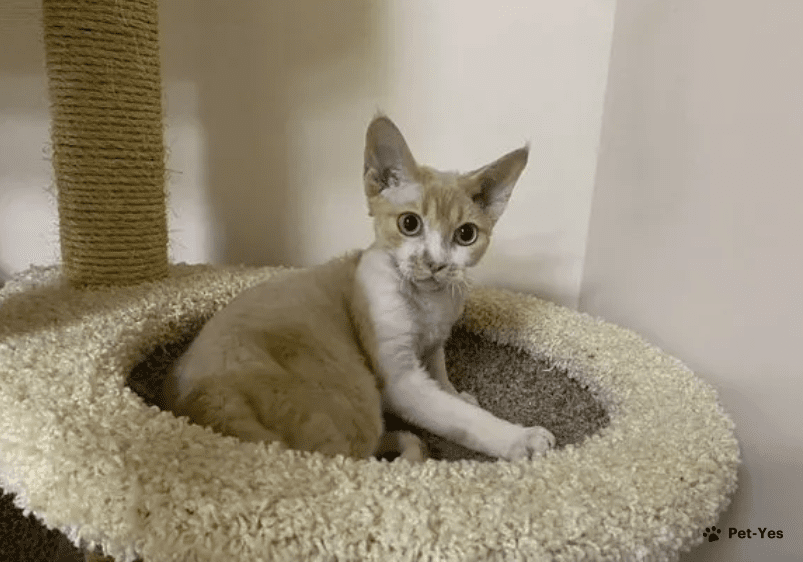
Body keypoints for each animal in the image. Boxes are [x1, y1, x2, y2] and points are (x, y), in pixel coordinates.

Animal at [161, 115, 555, 461]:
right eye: (410, 224)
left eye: (466, 235)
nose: (435, 262)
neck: (429, 306)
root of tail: (208, 400)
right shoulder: (399, 377)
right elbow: (458, 418)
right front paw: (518, 437)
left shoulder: (434, 345)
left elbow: (442, 380)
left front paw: (456, 394)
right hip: (355, 392)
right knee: (351, 458)